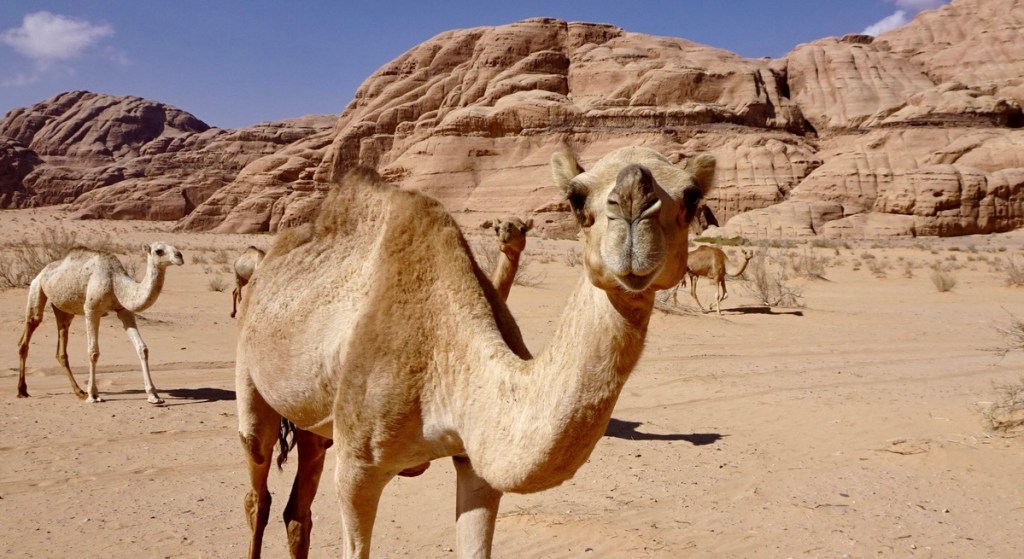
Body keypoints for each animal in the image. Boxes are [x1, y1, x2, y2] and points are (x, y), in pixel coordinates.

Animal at [17, 242, 184, 404]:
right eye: (159, 251)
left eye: (174, 247)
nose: (180, 256)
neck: (115, 281)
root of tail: (43, 271)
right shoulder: (91, 310)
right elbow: (93, 352)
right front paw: (93, 395)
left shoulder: (124, 310)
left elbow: (142, 348)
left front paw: (153, 395)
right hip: (37, 287)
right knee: (29, 330)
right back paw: (22, 391)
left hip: (63, 309)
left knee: (61, 346)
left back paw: (79, 392)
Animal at [235, 145, 715, 559]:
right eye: (576, 198)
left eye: (692, 196)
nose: (633, 200)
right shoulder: (357, 469)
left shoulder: (476, 464)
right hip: (250, 375)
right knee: (257, 489)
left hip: (314, 421)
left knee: (298, 509)